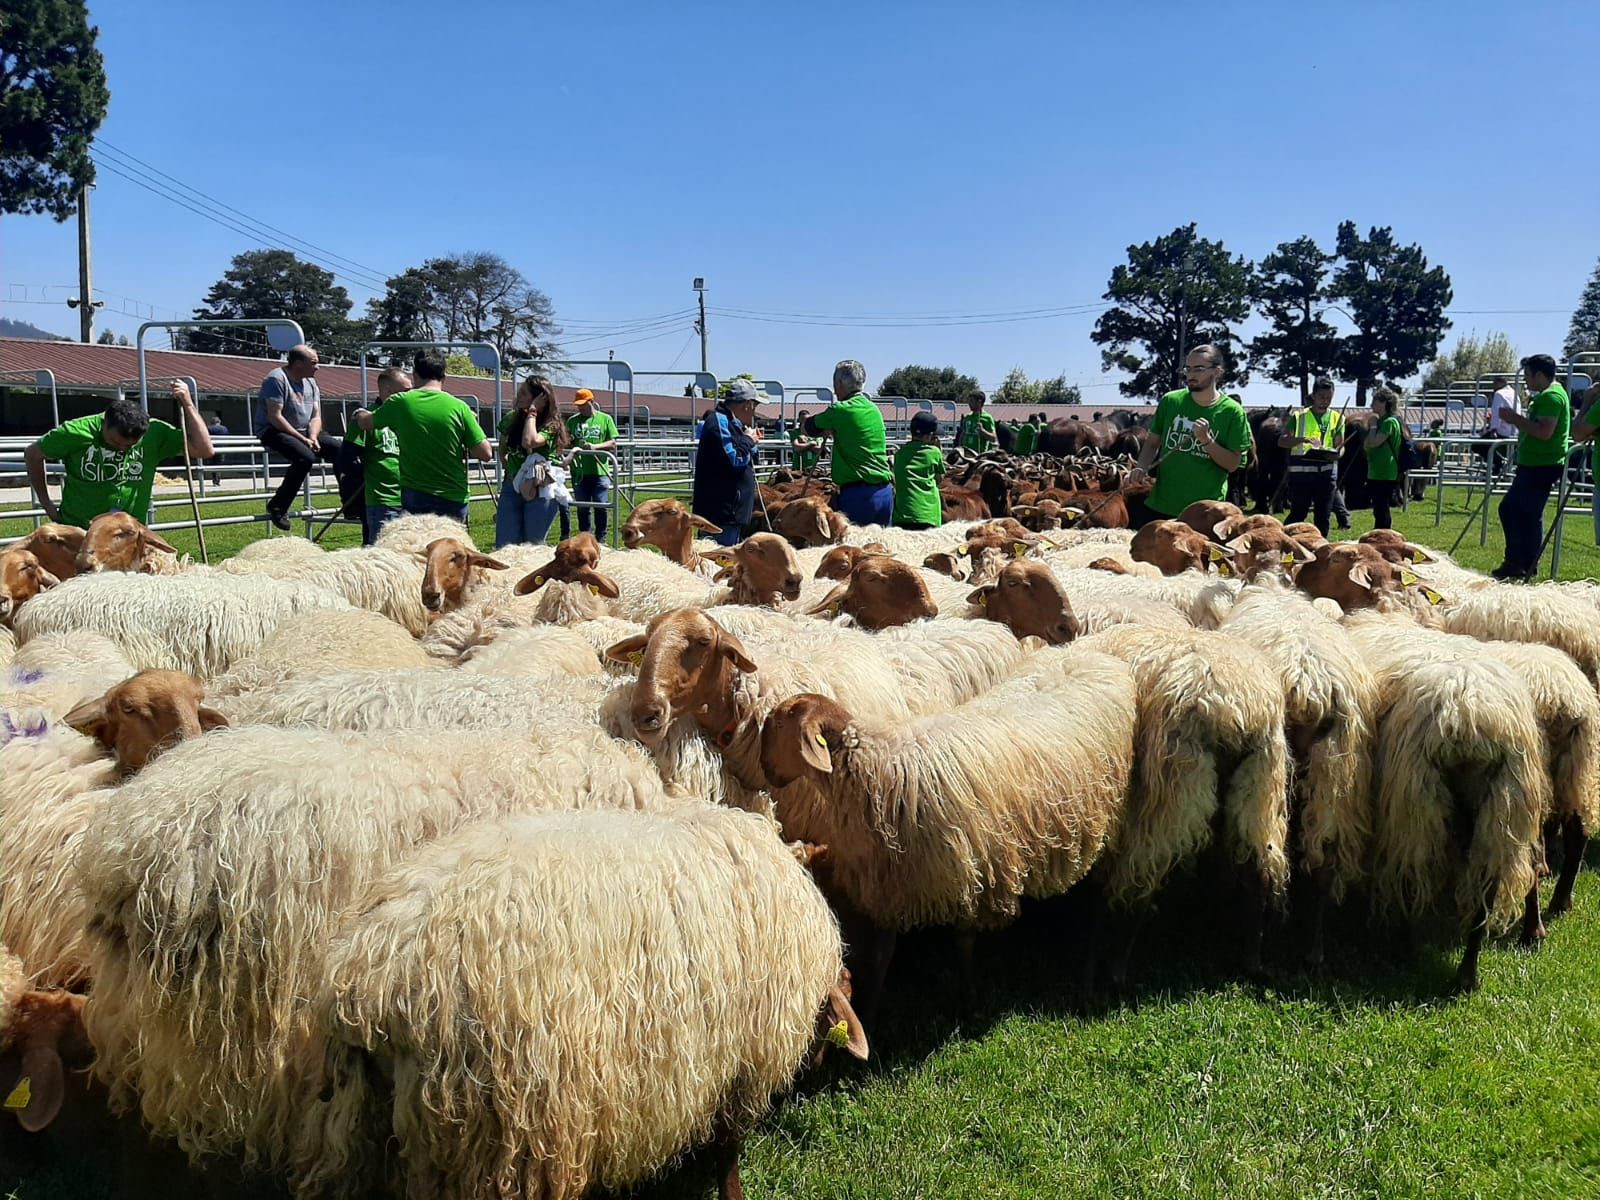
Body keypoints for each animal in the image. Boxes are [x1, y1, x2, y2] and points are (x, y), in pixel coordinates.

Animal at [297, 803, 864, 1200]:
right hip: (502, 1139)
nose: (820, 1068)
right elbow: (728, 1150)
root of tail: (368, 978)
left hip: (355, 1129)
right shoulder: (743, 1061)